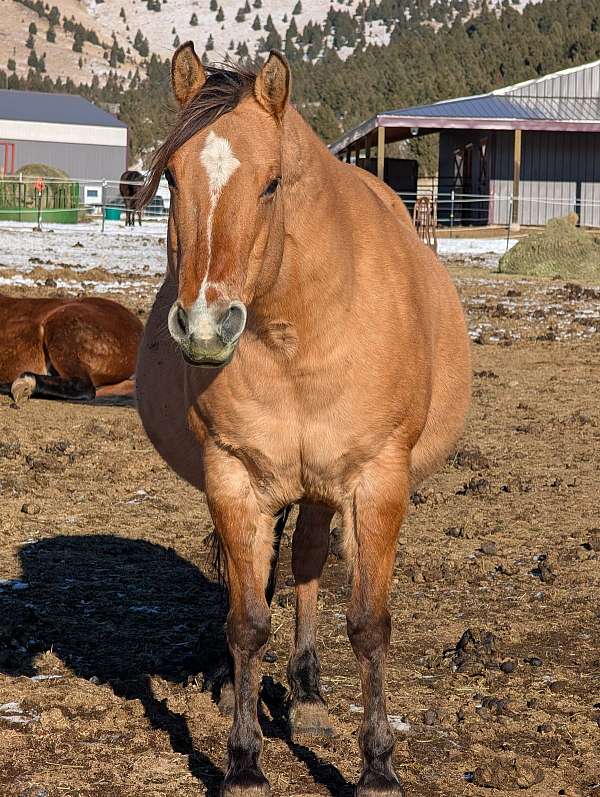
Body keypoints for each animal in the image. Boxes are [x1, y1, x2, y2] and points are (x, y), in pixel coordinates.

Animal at [135, 44, 471, 796]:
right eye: (170, 177)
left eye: (271, 183)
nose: (206, 326)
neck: (300, 330)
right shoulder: (234, 476)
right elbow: (247, 620)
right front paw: (243, 761)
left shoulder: (378, 481)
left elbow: (369, 623)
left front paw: (378, 766)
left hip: (324, 487)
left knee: (311, 562)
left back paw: (311, 697)